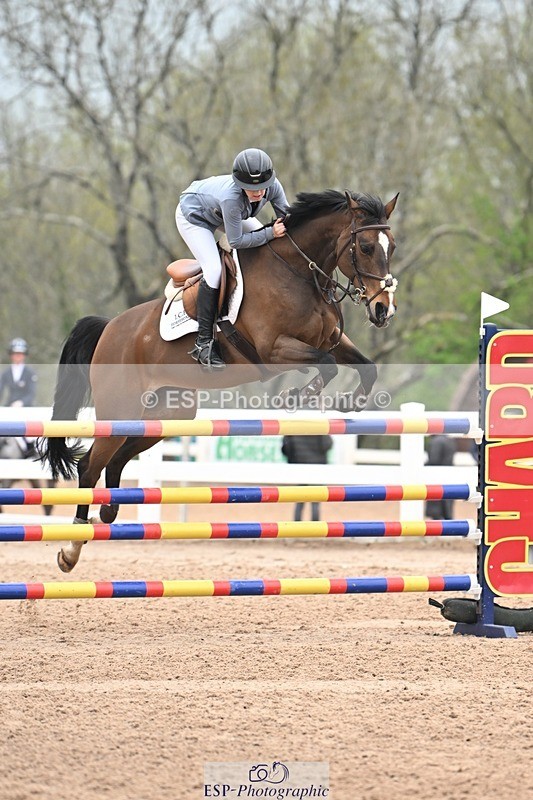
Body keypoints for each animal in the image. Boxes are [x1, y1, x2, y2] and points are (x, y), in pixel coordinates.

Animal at [38, 189, 399, 571]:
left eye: (392, 246)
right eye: (365, 247)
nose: (383, 310)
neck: (298, 272)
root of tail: (109, 328)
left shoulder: (331, 340)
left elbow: (367, 367)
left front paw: (350, 403)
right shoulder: (274, 349)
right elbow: (328, 366)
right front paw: (296, 396)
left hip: (168, 414)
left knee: (118, 459)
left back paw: (107, 513)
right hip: (120, 411)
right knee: (90, 465)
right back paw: (71, 548)